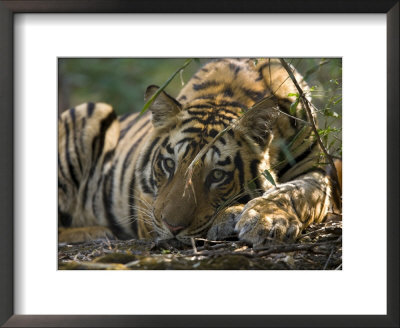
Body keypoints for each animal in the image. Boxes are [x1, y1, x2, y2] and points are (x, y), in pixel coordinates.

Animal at [59, 59, 340, 249]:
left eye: (217, 175)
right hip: (92, 111)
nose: (172, 227)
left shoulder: (315, 170)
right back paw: (98, 232)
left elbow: (293, 192)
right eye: (168, 164)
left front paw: (267, 221)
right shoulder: (147, 206)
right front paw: (236, 216)